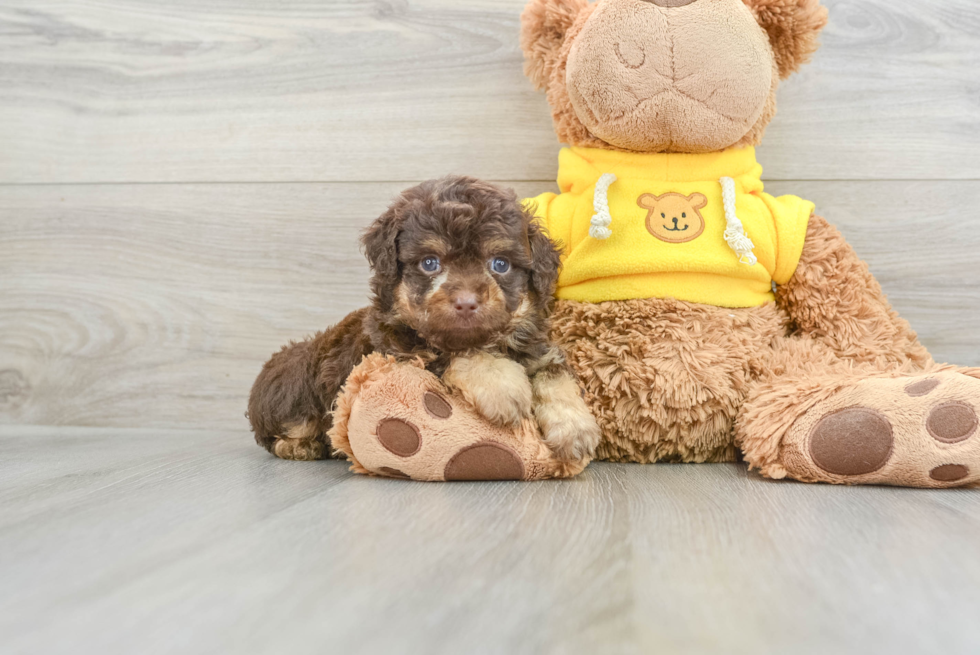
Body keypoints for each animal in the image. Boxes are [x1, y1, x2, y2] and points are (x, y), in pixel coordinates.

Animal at [249, 174, 600, 462]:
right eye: (430, 263)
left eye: (500, 264)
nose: (466, 302)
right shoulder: (402, 354)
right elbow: (458, 355)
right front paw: (504, 387)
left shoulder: (538, 349)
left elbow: (555, 376)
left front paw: (576, 428)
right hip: (298, 394)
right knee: (278, 431)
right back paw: (300, 446)